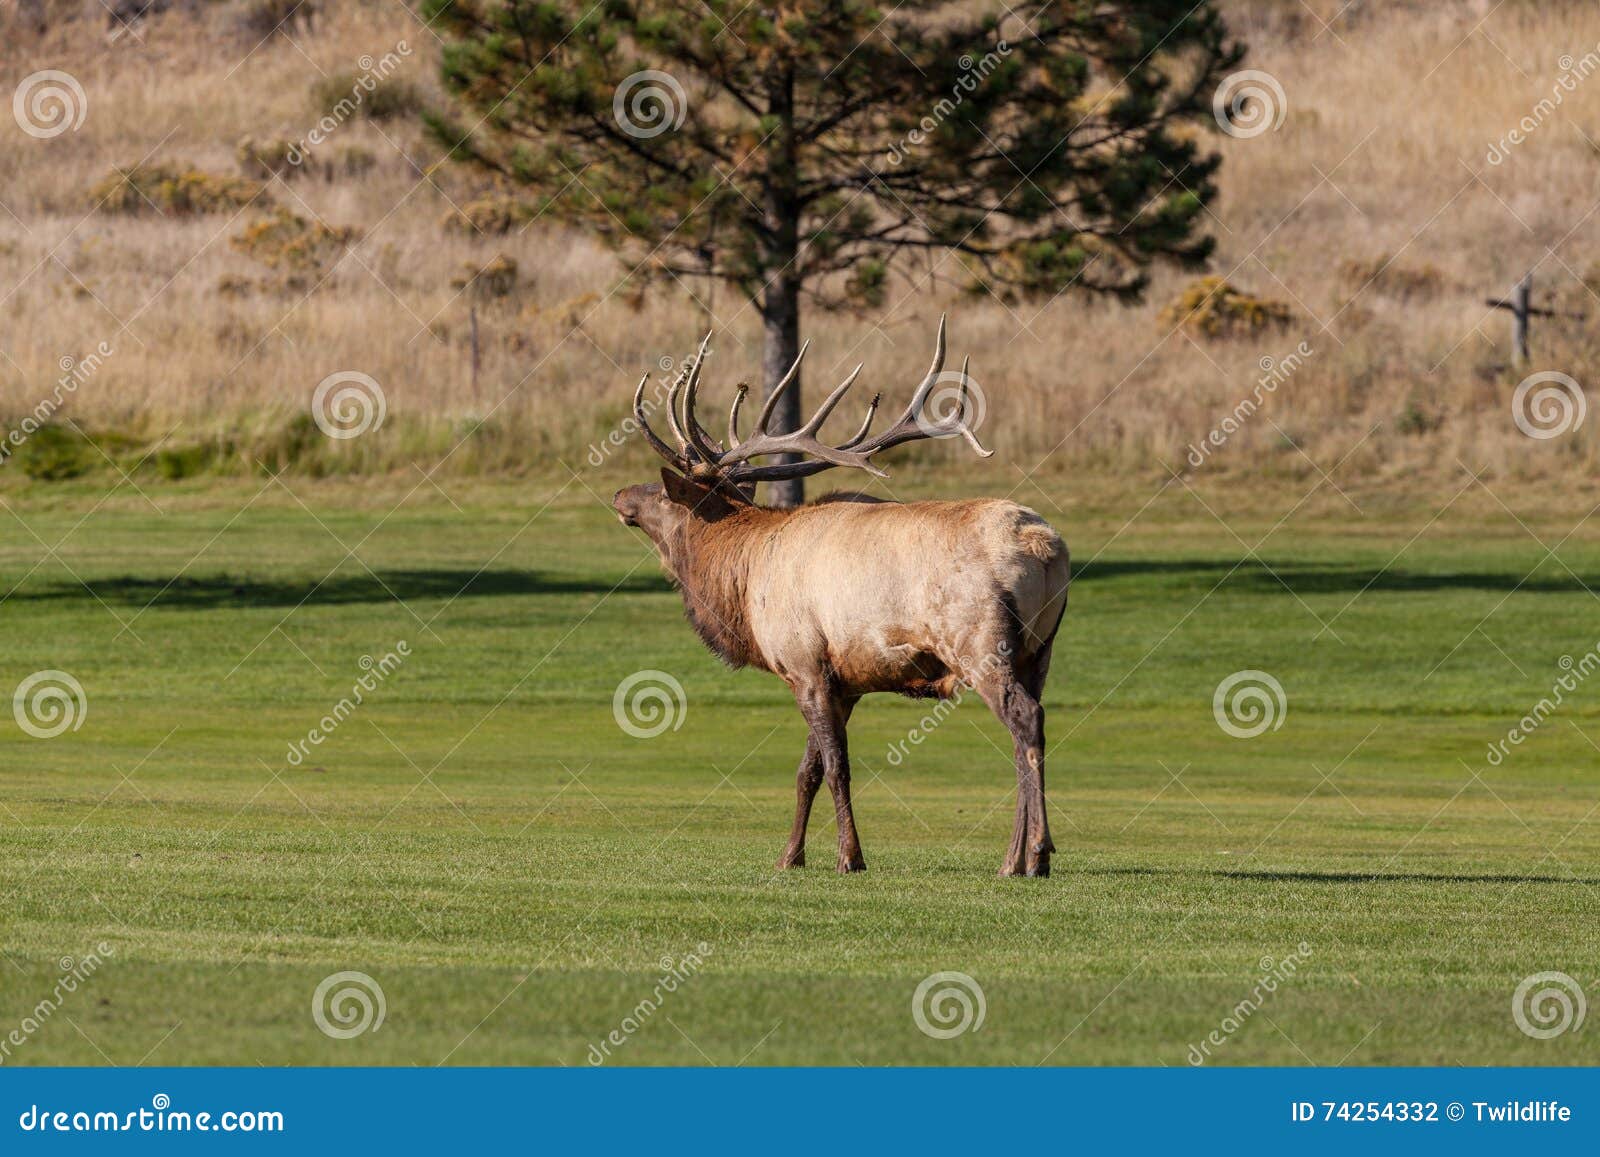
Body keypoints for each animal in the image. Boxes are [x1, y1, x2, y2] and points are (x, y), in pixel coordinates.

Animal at [612, 318, 1069, 877]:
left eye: (661, 491)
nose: (619, 496)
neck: (743, 575)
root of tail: (1045, 549)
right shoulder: (843, 679)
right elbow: (806, 769)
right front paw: (790, 855)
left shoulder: (803, 661)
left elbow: (836, 767)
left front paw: (850, 856)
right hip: (1039, 652)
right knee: (1032, 723)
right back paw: (1021, 857)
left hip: (980, 643)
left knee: (1025, 720)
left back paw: (1031, 855)